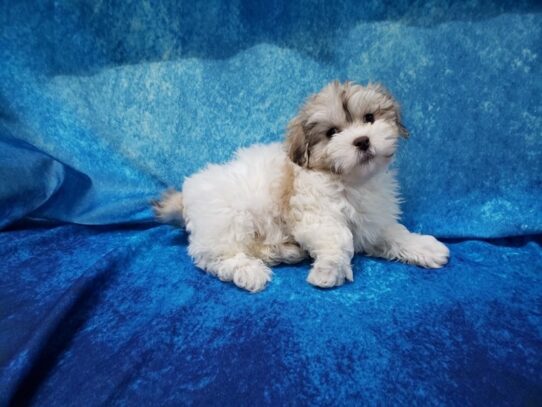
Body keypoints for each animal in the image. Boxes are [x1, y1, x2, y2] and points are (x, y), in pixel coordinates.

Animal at [154, 81, 450, 292]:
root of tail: (188, 193)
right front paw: (329, 270)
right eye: (332, 133)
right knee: (214, 256)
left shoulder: (372, 223)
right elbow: (341, 238)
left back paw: (285, 252)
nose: (363, 140)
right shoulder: (315, 216)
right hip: (228, 220)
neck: (351, 181)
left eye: (369, 118)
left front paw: (424, 247)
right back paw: (250, 272)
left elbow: (394, 234)